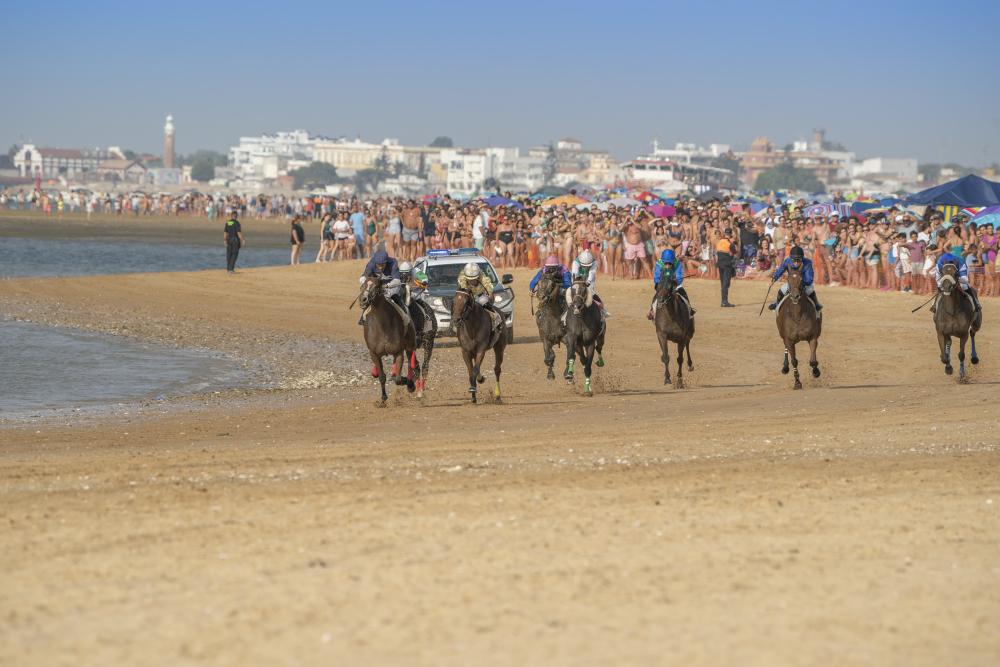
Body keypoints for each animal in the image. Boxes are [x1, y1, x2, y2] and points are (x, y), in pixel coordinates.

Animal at [360, 278, 418, 408]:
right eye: (362, 285)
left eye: (376, 286)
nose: (363, 299)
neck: (382, 326)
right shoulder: (374, 354)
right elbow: (382, 377)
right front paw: (383, 399)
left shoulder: (398, 352)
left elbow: (398, 379)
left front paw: (409, 383)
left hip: (410, 345)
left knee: (411, 363)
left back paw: (411, 383)